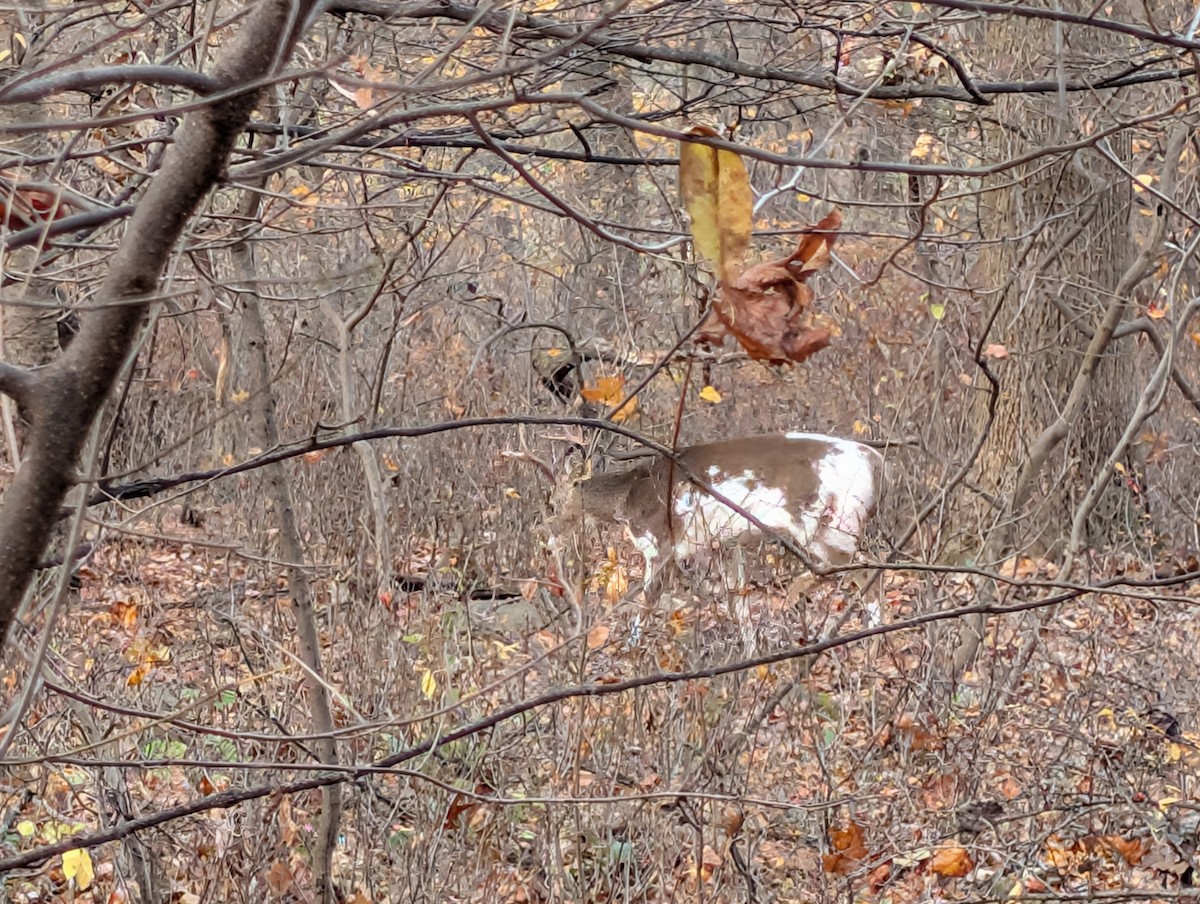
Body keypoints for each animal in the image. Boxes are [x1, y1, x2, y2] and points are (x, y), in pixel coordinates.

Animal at [546, 432, 885, 639]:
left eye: (552, 502)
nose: (549, 539)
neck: (630, 497)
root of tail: (875, 460)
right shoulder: (724, 546)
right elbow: (738, 604)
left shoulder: (660, 542)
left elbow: (647, 602)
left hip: (832, 525)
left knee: (864, 570)